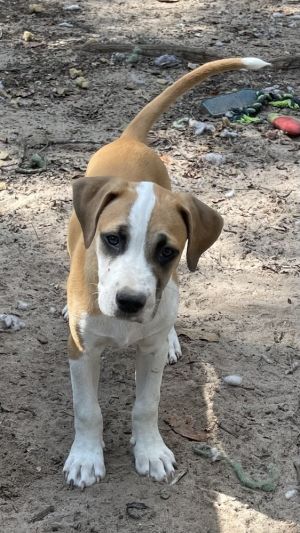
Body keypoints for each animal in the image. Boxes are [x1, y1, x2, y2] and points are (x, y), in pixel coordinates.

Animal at [63, 57, 270, 486]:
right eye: (112, 239)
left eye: (167, 251)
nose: (130, 302)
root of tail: (131, 140)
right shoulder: (82, 352)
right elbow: (87, 410)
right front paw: (86, 458)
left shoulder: (150, 351)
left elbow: (147, 404)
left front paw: (150, 450)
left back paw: (171, 334)